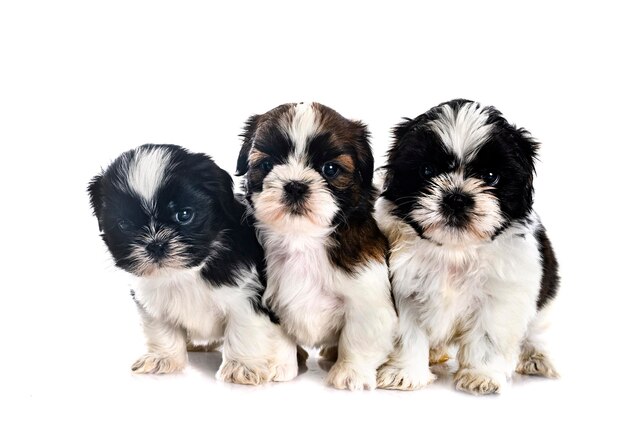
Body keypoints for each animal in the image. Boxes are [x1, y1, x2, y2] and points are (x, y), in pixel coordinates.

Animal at [86, 144, 298, 384]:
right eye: (124, 224)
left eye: (184, 215)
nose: (155, 244)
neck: (186, 272)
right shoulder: (152, 301)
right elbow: (161, 330)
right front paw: (163, 358)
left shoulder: (247, 294)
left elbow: (244, 329)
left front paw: (241, 367)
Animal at [234, 101, 394, 392]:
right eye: (267, 164)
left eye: (330, 169)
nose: (295, 186)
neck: (303, 240)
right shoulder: (267, 299)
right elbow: (278, 335)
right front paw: (281, 366)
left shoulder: (367, 295)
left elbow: (359, 337)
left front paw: (350, 373)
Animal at [372, 99, 560, 394]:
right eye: (427, 171)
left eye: (491, 176)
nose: (456, 198)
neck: (455, 251)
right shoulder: (404, 289)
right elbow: (407, 333)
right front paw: (404, 372)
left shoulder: (501, 295)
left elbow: (488, 335)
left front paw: (481, 375)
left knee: (538, 329)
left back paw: (537, 357)